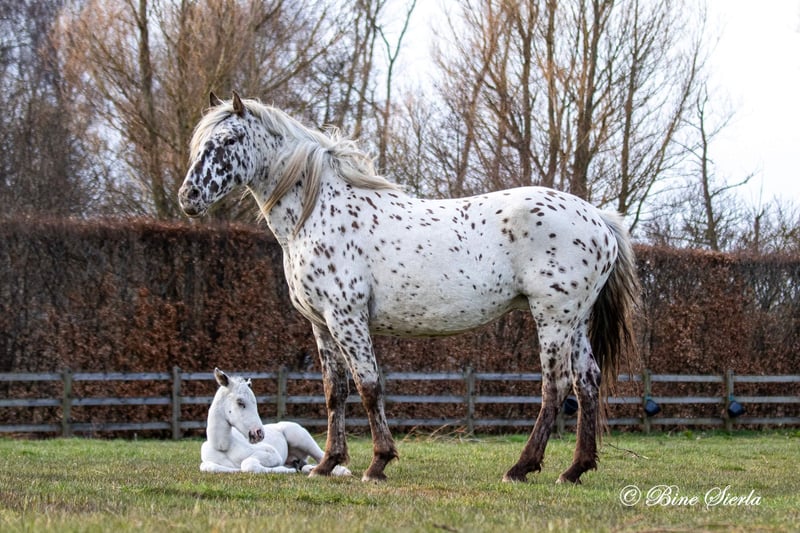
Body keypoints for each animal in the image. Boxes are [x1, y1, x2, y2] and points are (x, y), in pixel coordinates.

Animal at [200, 367, 351, 476]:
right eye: (240, 402)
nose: (259, 433)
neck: (224, 447)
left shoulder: (272, 454)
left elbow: (248, 464)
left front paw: (286, 470)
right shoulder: (207, 463)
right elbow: (207, 466)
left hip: (302, 439)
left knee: (321, 456)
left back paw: (340, 471)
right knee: (305, 464)